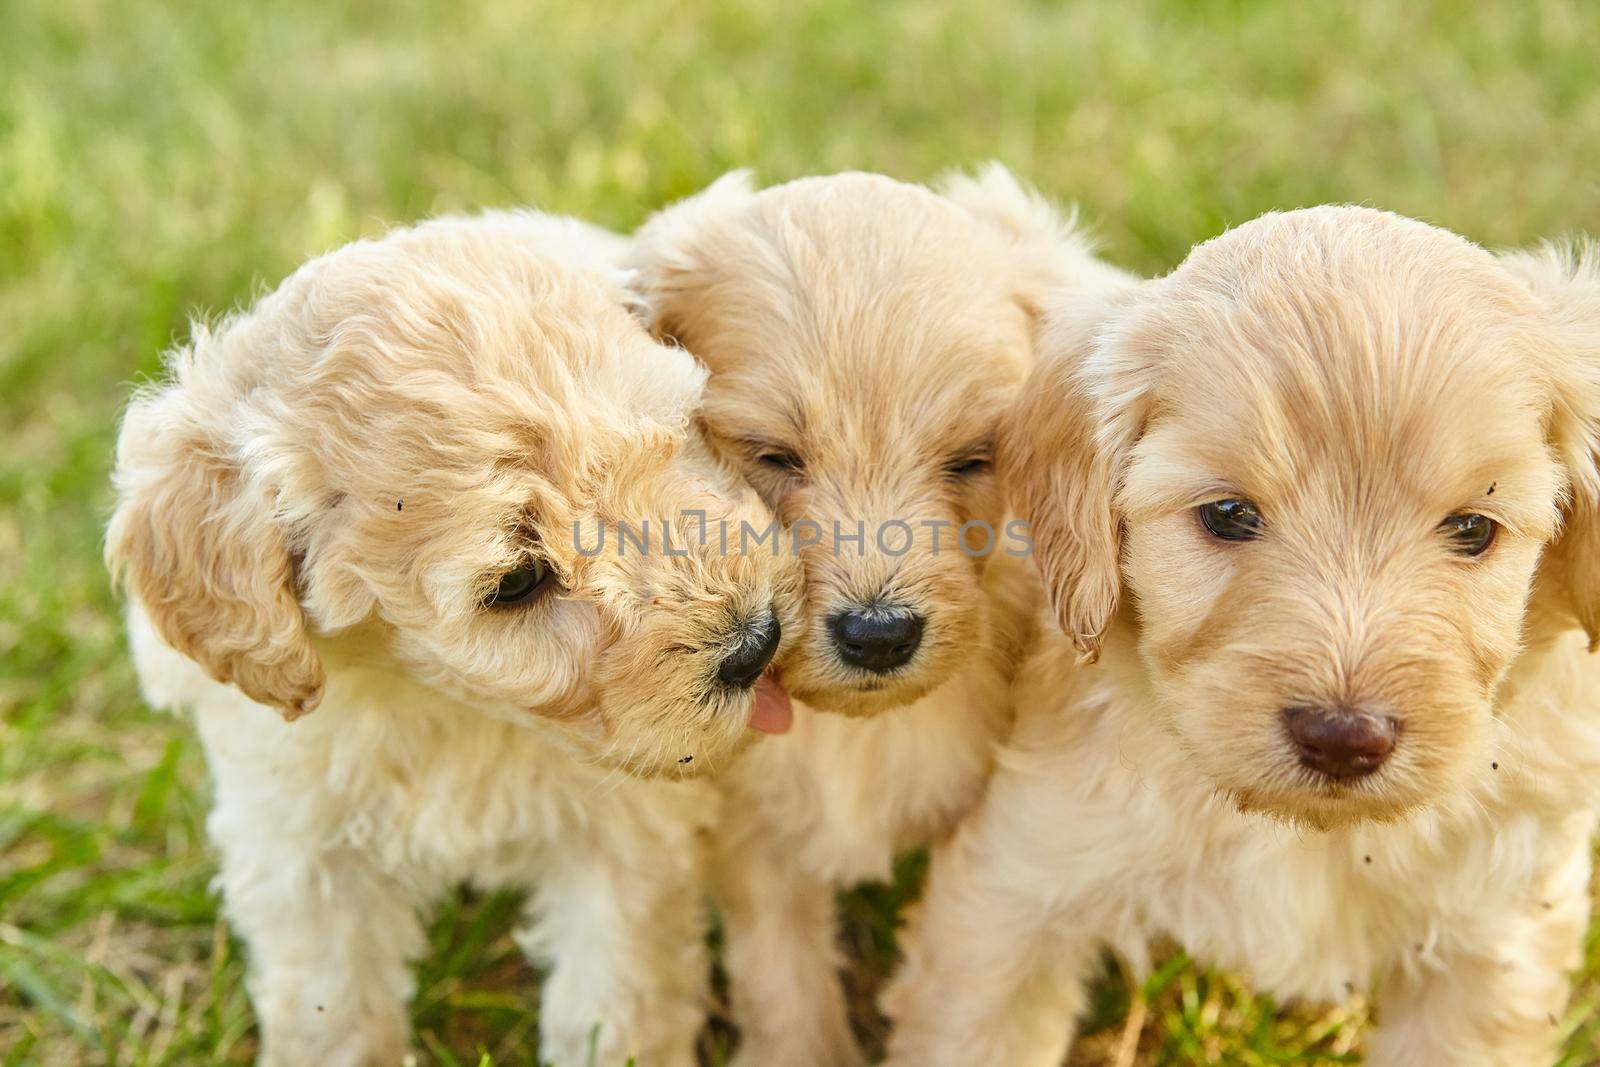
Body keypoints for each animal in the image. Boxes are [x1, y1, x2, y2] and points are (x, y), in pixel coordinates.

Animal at [104, 211, 800, 1067]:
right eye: (518, 580)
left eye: (678, 437)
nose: (756, 642)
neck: (447, 707)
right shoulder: (302, 847)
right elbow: (330, 1006)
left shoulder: (627, 839)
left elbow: (615, 994)